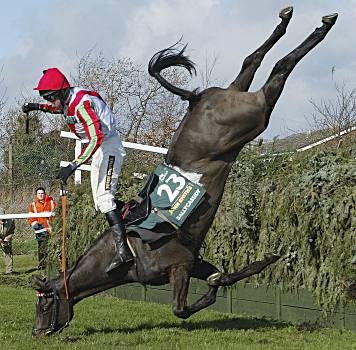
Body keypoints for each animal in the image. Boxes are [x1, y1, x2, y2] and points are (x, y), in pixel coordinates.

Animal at [30, 7, 336, 336]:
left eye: (44, 306)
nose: (36, 332)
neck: (126, 252)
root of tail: (197, 98)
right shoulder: (193, 260)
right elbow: (221, 276)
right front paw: (263, 261)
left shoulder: (179, 266)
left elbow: (181, 309)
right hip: (238, 99)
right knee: (250, 61)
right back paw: (292, 21)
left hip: (253, 116)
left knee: (279, 70)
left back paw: (320, 27)